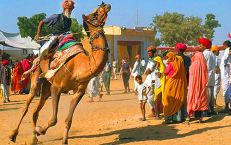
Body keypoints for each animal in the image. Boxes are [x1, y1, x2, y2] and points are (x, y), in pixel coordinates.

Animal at [10, 1, 111, 144]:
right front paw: (40, 130)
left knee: (35, 111)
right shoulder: (56, 87)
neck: (80, 66)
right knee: (27, 106)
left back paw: (34, 138)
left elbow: (68, 120)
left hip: (46, 85)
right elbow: (54, 119)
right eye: (95, 14)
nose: (105, 4)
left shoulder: (78, 91)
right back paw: (13, 135)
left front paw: (63, 140)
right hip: (37, 76)